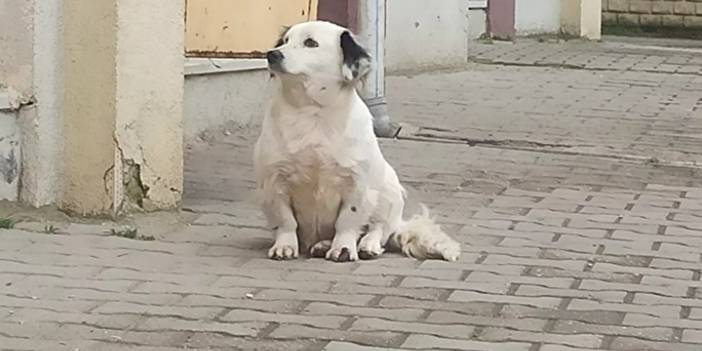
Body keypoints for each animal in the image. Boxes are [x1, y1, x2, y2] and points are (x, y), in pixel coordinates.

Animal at [253, 19, 462, 262]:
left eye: (310, 43)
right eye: (285, 41)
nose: (272, 54)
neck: (313, 112)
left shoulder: (356, 183)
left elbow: (348, 221)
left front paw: (343, 248)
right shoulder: (274, 181)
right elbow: (285, 220)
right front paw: (284, 246)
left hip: (390, 190)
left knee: (379, 229)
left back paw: (366, 246)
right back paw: (323, 244)